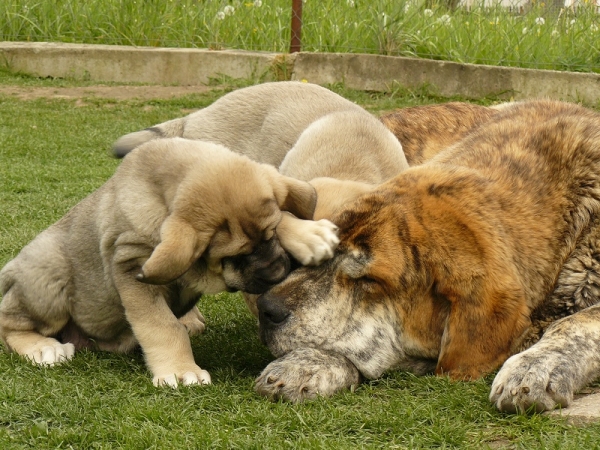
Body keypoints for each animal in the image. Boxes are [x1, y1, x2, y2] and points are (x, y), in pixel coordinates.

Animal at [0, 137, 338, 386]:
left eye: (270, 237)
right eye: (232, 258)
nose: (279, 271)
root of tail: (12, 266)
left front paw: (309, 234)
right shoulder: (131, 267)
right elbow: (162, 326)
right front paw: (180, 370)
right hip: (49, 279)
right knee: (10, 321)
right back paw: (43, 348)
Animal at [255, 99, 600, 414]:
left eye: (369, 280)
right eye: (322, 253)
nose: (266, 308)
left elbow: (577, 323)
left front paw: (535, 366)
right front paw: (306, 362)